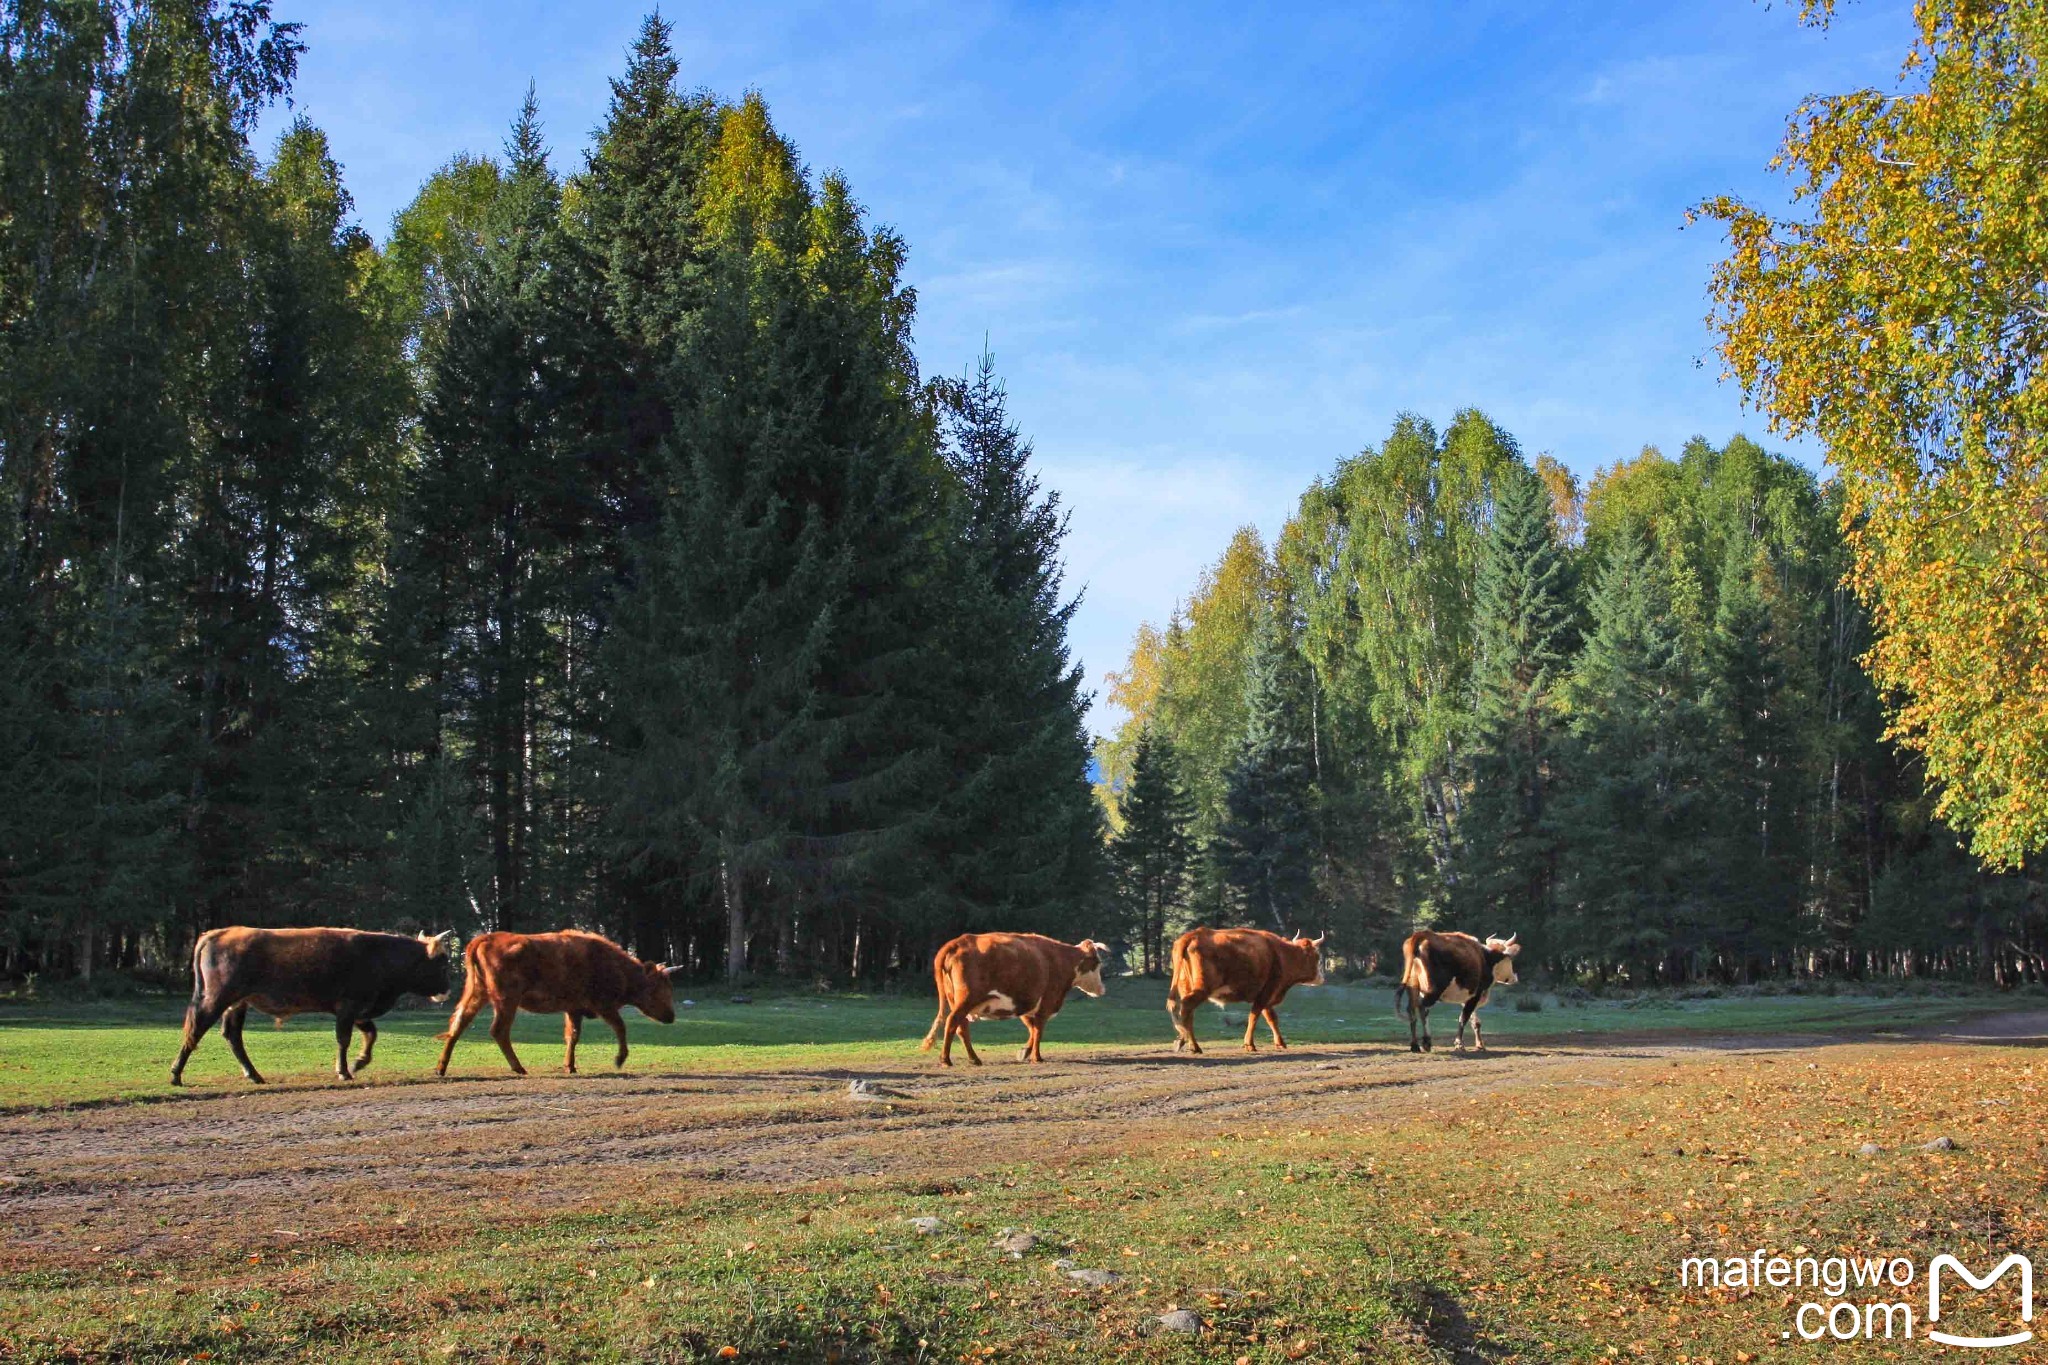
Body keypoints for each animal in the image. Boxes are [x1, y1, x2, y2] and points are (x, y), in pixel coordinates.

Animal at [168, 929, 456, 1088]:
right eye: (442, 963)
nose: (447, 990)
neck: (381, 956)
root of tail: (217, 933)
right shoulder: (347, 1007)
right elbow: (344, 1039)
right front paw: (344, 1071)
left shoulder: (359, 1011)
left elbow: (371, 1034)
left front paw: (359, 1062)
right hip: (217, 999)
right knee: (196, 1030)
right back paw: (176, 1074)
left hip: (236, 1003)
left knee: (232, 1036)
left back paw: (254, 1074)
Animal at [434, 929, 679, 1080]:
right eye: (657, 988)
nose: (671, 1017)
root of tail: (485, 939)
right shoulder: (604, 1006)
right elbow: (620, 1027)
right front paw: (619, 1059)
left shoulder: (574, 1009)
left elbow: (573, 1036)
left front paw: (570, 1066)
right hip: (506, 1000)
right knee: (498, 1030)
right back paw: (519, 1067)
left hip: (477, 993)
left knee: (458, 1024)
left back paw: (440, 1068)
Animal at [921, 933, 1105, 1072]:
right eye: (1097, 963)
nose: (1102, 989)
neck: (1062, 960)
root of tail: (959, 941)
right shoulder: (1046, 1002)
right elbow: (1038, 1030)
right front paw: (1036, 1057)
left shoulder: (1024, 1004)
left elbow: (1032, 1029)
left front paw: (1025, 1052)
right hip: (966, 999)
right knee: (952, 1022)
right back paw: (946, 1060)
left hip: (956, 1000)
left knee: (962, 1027)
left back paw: (974, 1059)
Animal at [1171, 929, 1327, 1055]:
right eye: (1317, 956)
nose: (1322, 978)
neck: (1282, 954)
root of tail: (1195, 933)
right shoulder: (1266, 992)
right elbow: (1254, 1016)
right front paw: (1249, 1044)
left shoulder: (1266, 996)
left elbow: (1272, 1018)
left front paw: (1280, 1043)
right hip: (1202, 988)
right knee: (1186, 1007)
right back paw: (1193, 1046)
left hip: (1186, 987)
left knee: (1188, 1013)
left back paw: (1184, 1040)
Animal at [1392, 929, 1523, 1055]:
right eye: (1510, 958)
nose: (1514, 977)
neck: (1485, 957)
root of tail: (1423, 934)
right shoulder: (1476, 995)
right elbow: (1463, 1018)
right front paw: (1459, 1044)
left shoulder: (1467, 997)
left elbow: (1475, 1022)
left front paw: (1480, 1045)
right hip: (1433, 990)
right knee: (1422, 1008)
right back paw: (1427, 1042)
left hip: (1413, 987)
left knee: (1411, 1009)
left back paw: (1414, 1045)